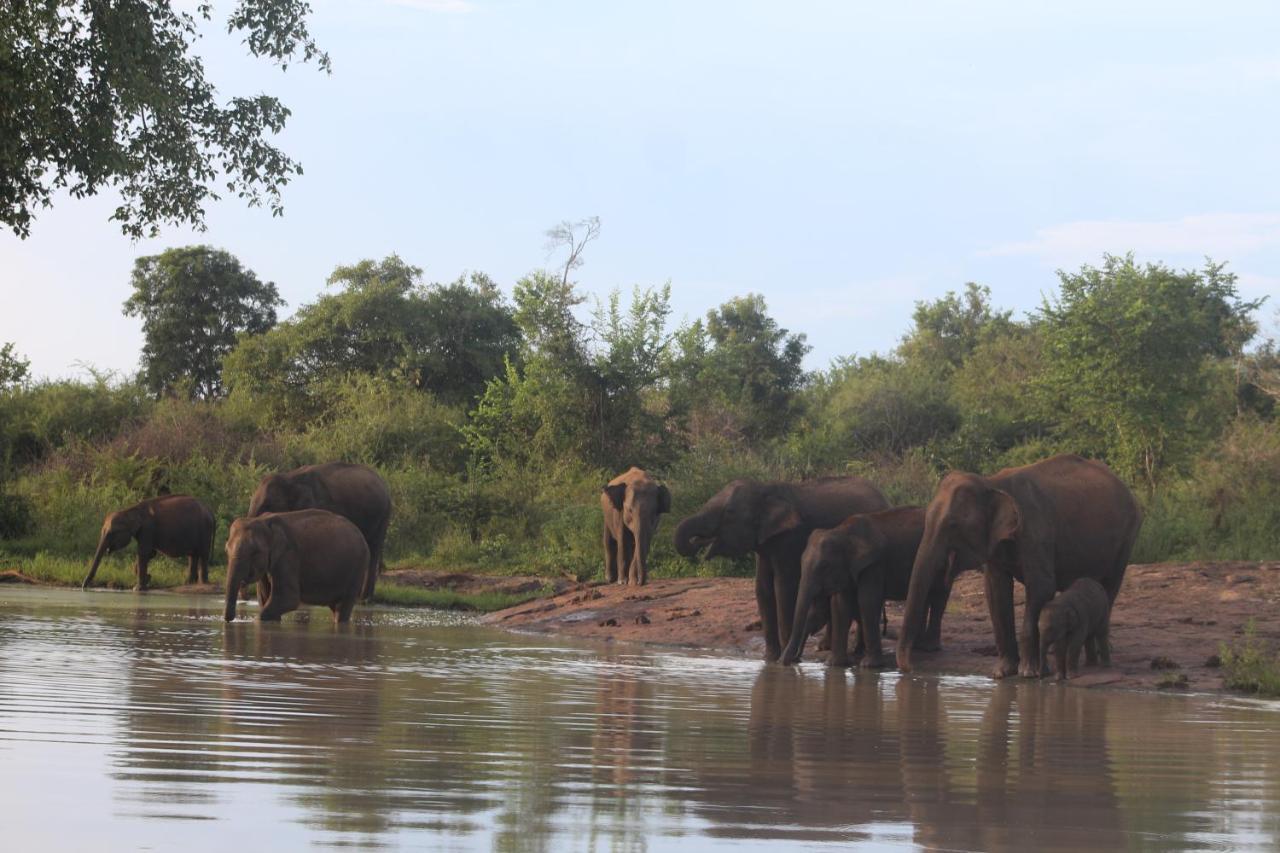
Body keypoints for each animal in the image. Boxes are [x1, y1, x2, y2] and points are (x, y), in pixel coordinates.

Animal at [81, 491, 215, 591]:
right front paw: (147, 579)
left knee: (203, 554)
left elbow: (143, 553)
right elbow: (150, 553)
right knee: (193, 556)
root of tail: (210, 511)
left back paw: (202, 584)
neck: (131, 510)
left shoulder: (147, 529)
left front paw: (138, 588)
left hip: (205, 530)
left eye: (111, 533)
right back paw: (189, 583)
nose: (84, 587)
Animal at [225, 507, 371, 622]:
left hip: (357, 568)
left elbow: (288, 598)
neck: (264, 521)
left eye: (255, 552)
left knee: (343, 606)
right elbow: (264, 598)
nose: (229, 619)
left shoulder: (288, 556)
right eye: (226, 550)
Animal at [248, 461, 389, 601]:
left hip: (382, 516)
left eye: (267, 505)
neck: (289, 479)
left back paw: (364, 599)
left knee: (374, 549)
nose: (262, 598)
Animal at [670, 473, 890, 660]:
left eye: (729, 513)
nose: (699, 541)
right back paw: (825, 647)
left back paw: (854, 650)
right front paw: (769, 659)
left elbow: (783, 587)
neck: (764, 489)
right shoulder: (765, 543)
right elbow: (763, 588)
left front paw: (781, 657)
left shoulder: (789, 538)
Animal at [890, 450, 1141, 676]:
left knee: (1110, 586)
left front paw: (1029, 673)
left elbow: (1041, 587)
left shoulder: (1035, 532)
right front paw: (1002, 672)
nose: (911, 668)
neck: (991, 483)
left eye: (952, 525)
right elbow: (996, 591)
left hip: (1127, 537)